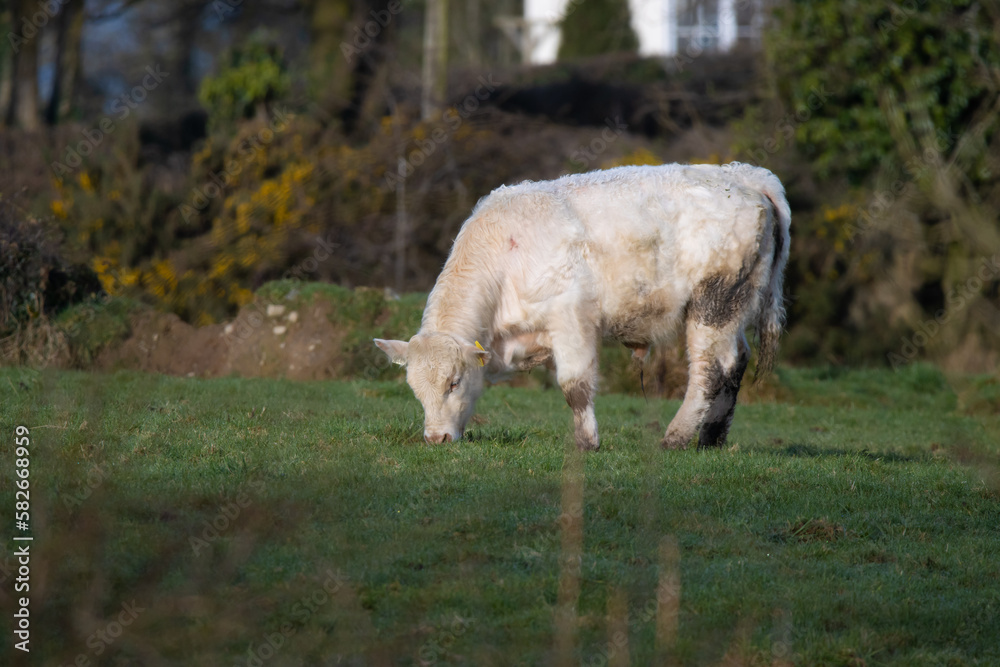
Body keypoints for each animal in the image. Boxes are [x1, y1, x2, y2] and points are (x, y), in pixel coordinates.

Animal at [374, 162, 790, 451]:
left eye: (454, 382)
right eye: (415, 389)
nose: (437, 438)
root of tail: (745, 175)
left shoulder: (571, 317)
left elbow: (575, 384)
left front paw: (586, 442)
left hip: (714, 303)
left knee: (709, 372)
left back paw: (676, 437)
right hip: (736, 307)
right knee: (736, 361)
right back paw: (712, 438)